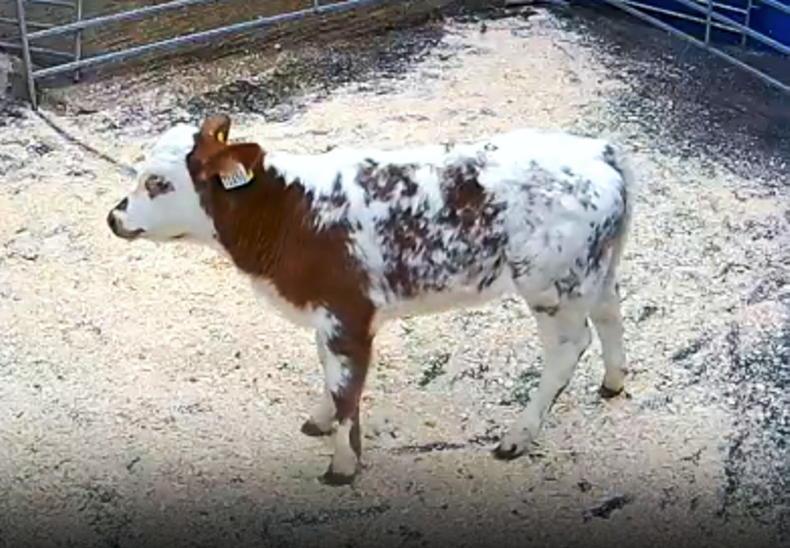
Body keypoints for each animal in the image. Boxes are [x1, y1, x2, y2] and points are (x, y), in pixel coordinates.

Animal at [107, 114, 635, 485]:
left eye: (157, 182)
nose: (114, 218)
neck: (291, 212)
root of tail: (601, 151)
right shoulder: (329, 319)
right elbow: (330, 378)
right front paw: (319, 421)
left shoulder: (348, 316)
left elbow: (346, 390)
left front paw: (342, 466)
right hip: (595, 270)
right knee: (610, 312)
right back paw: (612, 382)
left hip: (552, 286)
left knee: (568, 349)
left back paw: (517, 436)